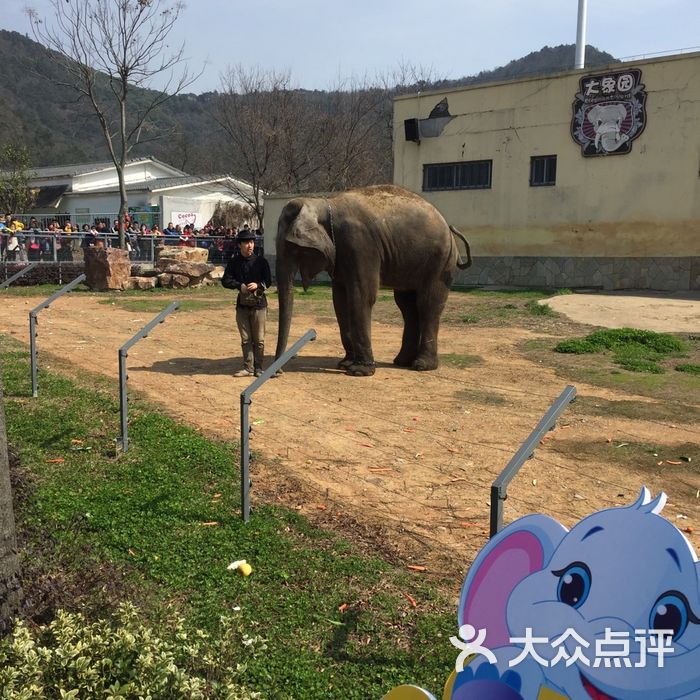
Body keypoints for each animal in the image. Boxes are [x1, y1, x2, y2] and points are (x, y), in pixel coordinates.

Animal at [274, 183, 470, 374]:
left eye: (291, 247)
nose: (279, 372)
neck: (323, 203)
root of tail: (449, 230)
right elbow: (340, 300)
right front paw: (344, 364)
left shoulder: (360, 244)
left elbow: (361, 297)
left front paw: (359, 371)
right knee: (407, 306)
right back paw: (402, 361)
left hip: (440, 262)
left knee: (427, 304)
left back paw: (421, 365)